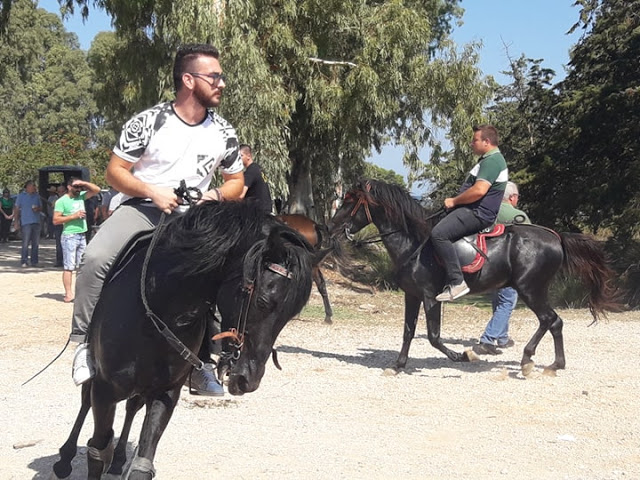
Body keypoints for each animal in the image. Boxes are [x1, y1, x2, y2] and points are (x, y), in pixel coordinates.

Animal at [52, 202, 312, 480]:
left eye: (290, 314)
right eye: (263, 301)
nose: (249, 380)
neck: (158, 312)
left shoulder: (166, 392)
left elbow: (142, 463)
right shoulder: (105, 390)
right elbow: (97, 451)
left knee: (132, 407)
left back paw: (120, 458)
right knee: (85, 403)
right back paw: (65, 458)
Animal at [328, 180, 616, 376]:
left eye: (350, 202)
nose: (332, 226)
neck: (414, 244)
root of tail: (555, 237)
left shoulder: (431, 297)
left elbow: (433, 337)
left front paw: (463, 356)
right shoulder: (412, 295)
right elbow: (408, 332)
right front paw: (398, 366)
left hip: (530, 289)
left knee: (550, 320)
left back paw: (532, 361)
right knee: (554, 322)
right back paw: (554, 363)